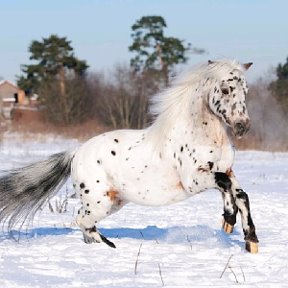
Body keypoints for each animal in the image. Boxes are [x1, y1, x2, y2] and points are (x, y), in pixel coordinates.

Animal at [0, 59, 258, 252]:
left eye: (245, 91)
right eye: (225, 89)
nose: (242, 126)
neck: (204, 136)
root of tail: (76, 152)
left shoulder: (227, 170)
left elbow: (240, 193)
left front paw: (249, 238)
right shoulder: (193, 180)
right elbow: (225, 186)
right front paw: (229, 219)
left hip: (113, 202)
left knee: (83, 221)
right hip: (99, 202)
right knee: (82, 220)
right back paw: (109, 246)